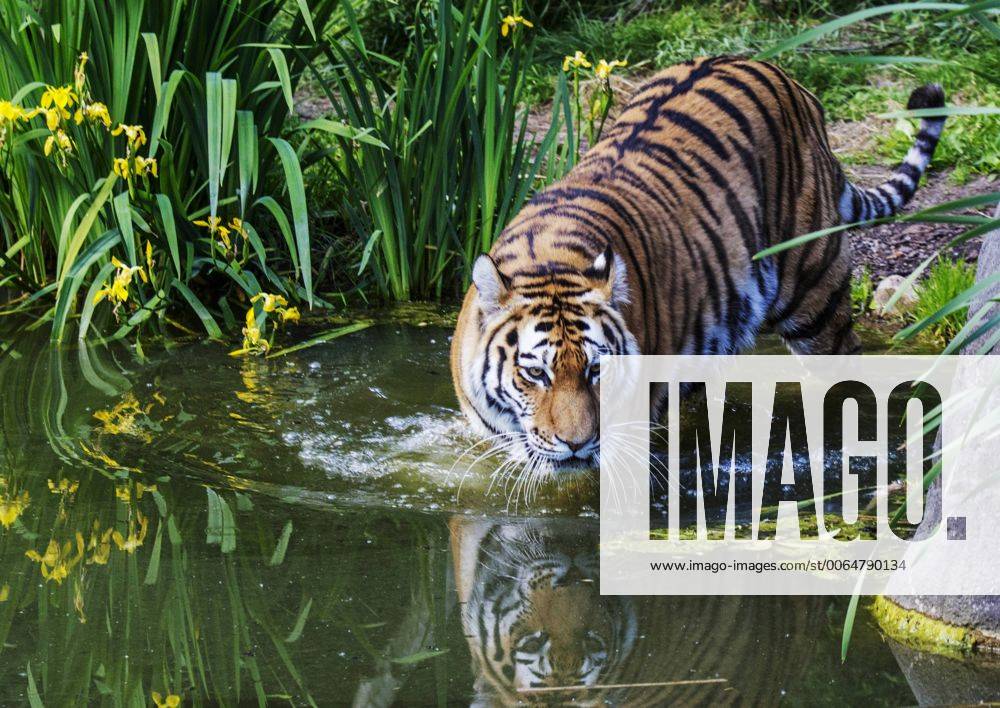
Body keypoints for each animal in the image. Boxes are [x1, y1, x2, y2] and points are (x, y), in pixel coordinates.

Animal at [451, 55, 946, 476]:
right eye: (535, 373)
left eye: (597, 370)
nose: (576, 443)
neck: (550, 260)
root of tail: (786, 79)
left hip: (814, 296)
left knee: (845, 367)